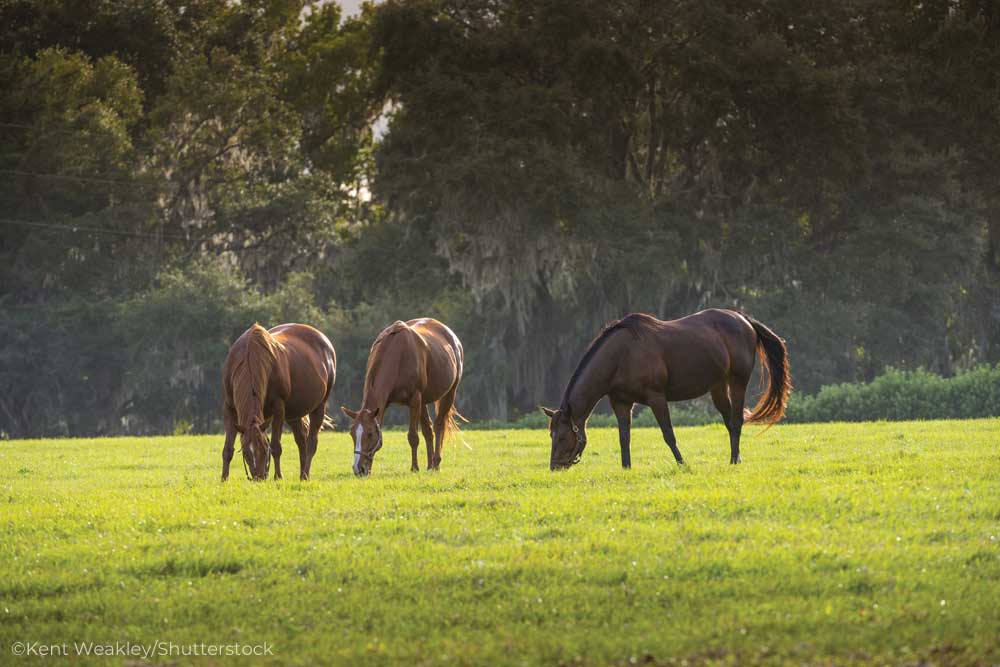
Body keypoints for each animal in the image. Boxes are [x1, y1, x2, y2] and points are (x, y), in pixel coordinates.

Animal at [221, 324, 338, 480]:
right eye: (246, 452)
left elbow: (276, 446)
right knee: (301, 441)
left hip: (319, 406)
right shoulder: (230, 408)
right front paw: (224, 479)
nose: (259, 478)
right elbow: (227, 449)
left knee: (311, 443)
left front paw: (278, 477)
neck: (250, 357)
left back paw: (305, 475)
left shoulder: (278, 408)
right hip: (294, 413)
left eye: (265, 449)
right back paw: (301, 475)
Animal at [342, 318, 466, 474]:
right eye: (352, 434)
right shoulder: (387, 403)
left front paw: (414, 468)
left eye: (370, 434)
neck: (397, 355)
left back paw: (436, 463)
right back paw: (430, 465)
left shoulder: (414, 400)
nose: (358, 469)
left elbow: (412, 436)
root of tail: (452, 337)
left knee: (438, 426)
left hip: (449, 394)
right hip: (423, 402)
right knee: (428, 430)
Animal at [544, 310, 792, 470]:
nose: (555, 467)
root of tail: (745, 320)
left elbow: (668, 434)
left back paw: (733, 460)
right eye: (551, 435)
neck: (621, 355)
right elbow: (624, 437)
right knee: (730, 421)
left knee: (737, 421)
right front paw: (626, 467)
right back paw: (736, 458)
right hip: (718, 387)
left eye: (563, 437)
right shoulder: (621, 402)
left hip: (737, 382)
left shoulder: (656, 398)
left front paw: (682, 464)